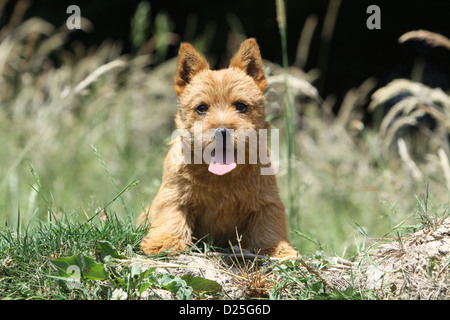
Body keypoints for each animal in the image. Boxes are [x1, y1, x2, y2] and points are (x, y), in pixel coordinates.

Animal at [137, 38, 298, 260]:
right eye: (201, 108)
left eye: (241, 106)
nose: (222, 131)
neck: (222, 179)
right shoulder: (173, 195)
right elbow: (171, 217)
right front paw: (164, 242)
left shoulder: (267, 201)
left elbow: (269, 228)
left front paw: (279, 250)